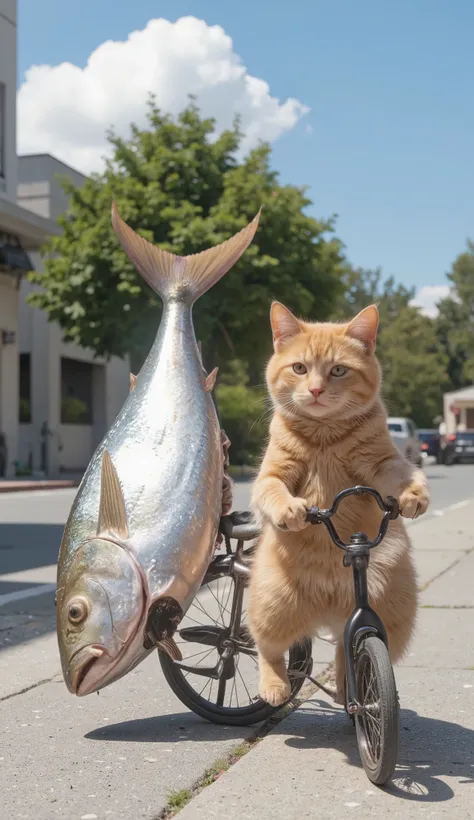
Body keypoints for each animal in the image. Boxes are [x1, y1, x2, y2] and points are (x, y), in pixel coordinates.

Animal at [248, 302, 430, 704]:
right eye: (300, 368)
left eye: (338, 370)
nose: (316, 390)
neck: (324, 434)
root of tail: (328, 607)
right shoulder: (271, 475)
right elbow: (274, 491)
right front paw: (290, 511)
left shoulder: (383, 463)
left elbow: (404, 473)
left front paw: (414, 495)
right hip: (274, 605)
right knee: (267, 648)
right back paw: (274, 687)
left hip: (393, 610)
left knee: (349, 654)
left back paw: (352, 688)